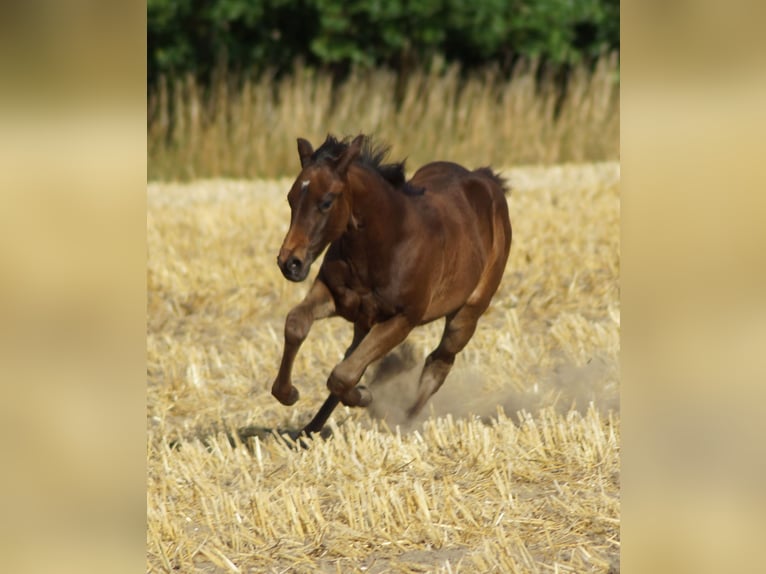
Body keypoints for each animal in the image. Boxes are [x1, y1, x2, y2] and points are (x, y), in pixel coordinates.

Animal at [271, 134, 512, 434]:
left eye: (326, 202)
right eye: (291, 198)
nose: (290, 263)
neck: (385, 243)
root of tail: (487, 178)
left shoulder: (402, 319)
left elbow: (343, 374)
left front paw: (365, 396)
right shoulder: (334, 295)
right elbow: (297, 324)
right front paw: (288, 393)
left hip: (468, 312)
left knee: (439, 361)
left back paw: (405, 421)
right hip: (364, 320)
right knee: (355, 354)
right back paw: (312, 428)